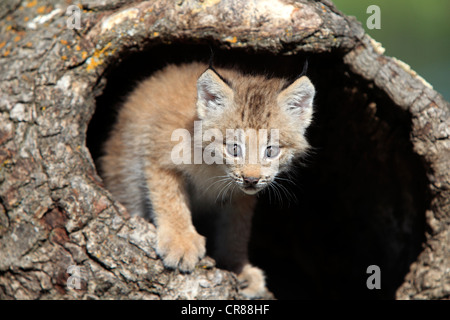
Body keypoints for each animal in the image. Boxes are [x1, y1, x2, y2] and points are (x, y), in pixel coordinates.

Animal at [100, 62, 314, 298]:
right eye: (234, 148)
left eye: (271, 150)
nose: (251, 179)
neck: (215, 168)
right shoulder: (160, 157)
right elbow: (170, 200)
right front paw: (180, 242)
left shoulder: (241, 195)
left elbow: (236, 229)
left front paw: (237, 267)